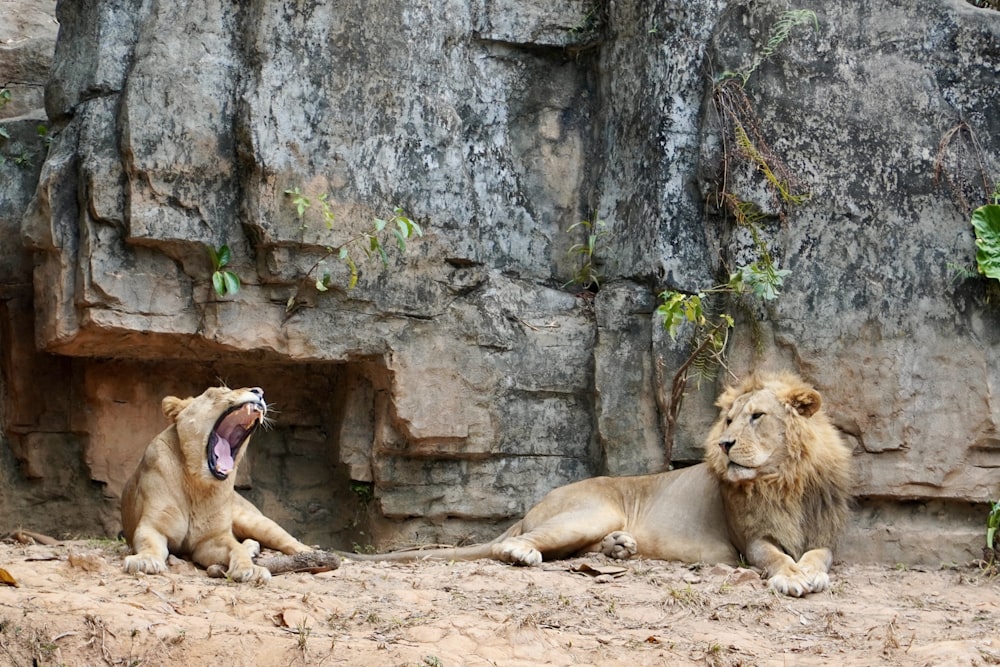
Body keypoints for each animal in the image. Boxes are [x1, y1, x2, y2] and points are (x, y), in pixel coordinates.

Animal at [123, 388, 314, 580]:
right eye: (217, 392)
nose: (258, 391)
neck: (198, 484)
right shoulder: (153, 526)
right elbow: (149, 543)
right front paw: (145, 560)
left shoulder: (212, 538)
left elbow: (235, 547)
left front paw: (251, 569)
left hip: (252, 520)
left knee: (291, 542)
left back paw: (311, 556)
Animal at [350, 374, 852, 596]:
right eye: (728, 420)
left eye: (757, 417)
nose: (725, 444)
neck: (786, 480)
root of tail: (535, 503)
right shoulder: (750, 540)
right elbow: (776, 558)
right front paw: (793, 577)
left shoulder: (825, 533)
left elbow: (817, 555)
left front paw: (810, 571)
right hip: (595, 509)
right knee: (515, 544)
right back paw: (525, 552)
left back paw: (617, 548)